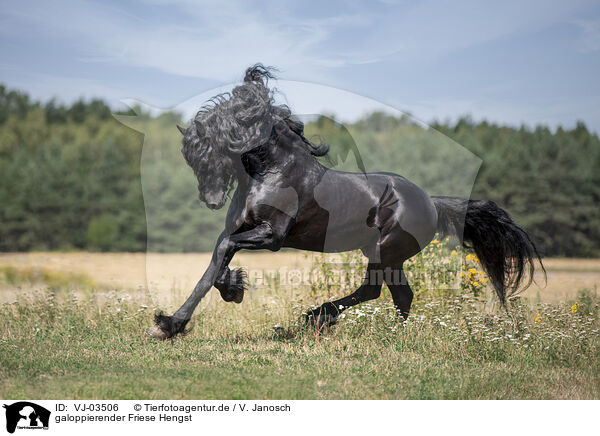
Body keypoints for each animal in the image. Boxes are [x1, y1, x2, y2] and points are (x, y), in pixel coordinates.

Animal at [146, 63, 544, 340]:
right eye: (191, 156)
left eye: (211, 150)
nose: (211, 200)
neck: (273, 170)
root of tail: (430, 202)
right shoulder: (241, 229)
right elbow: (215, 265)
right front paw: (211, 299)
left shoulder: (272, 236)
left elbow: (223, 253)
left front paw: (174, 321)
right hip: (384, 254)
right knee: (397, 294)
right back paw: (368, 328)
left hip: (387, 250)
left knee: (379, 290)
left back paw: (322, 317)